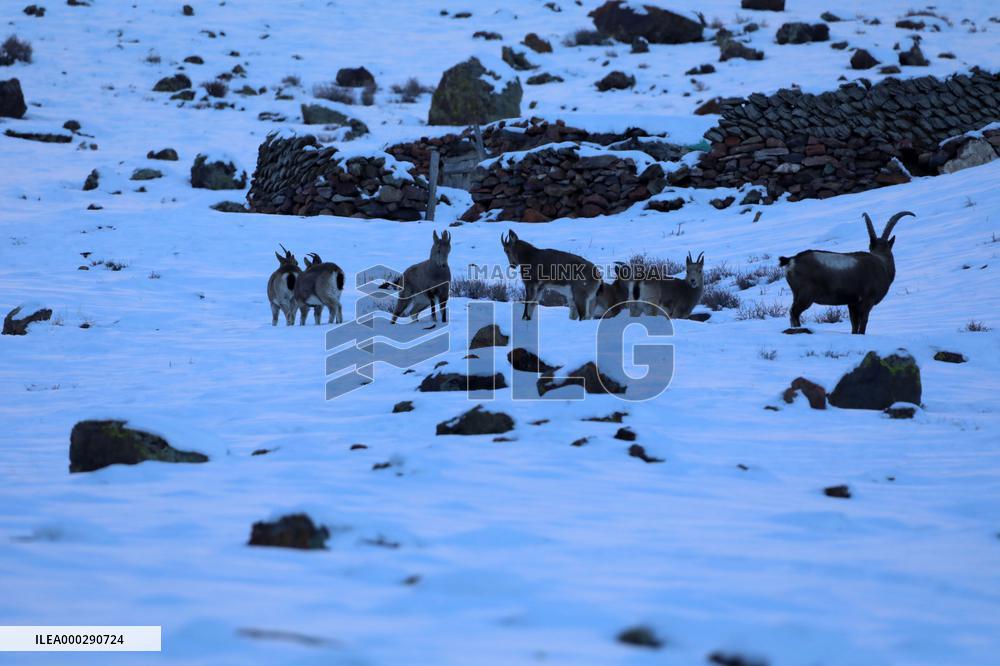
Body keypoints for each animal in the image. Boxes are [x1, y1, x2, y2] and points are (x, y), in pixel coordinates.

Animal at [779, 210, 914, 334]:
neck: (882, 263)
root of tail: (792, 260)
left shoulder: (852, 303)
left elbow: (854, 324)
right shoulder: (867, 301)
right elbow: (863, 322)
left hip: (796, 294)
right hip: (806, 295)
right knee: (794, 312)